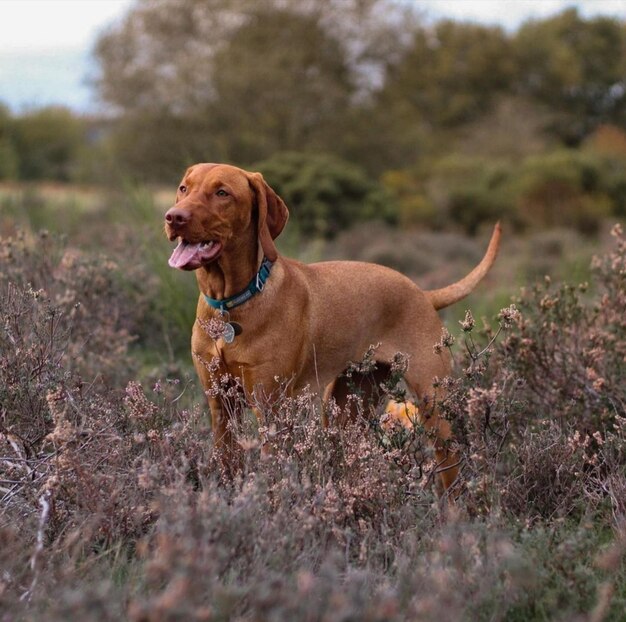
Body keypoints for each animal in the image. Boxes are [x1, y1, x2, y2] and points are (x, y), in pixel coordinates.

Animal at [165, 162, 498, 492]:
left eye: (222, 193)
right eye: (183, 188)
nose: (173, 217)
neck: (230, 305)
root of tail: (424, 294)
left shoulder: (271, 410)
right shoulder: (221, 406)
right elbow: (227, 465)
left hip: (434, 406)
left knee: (451, 471)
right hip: (346, 408)